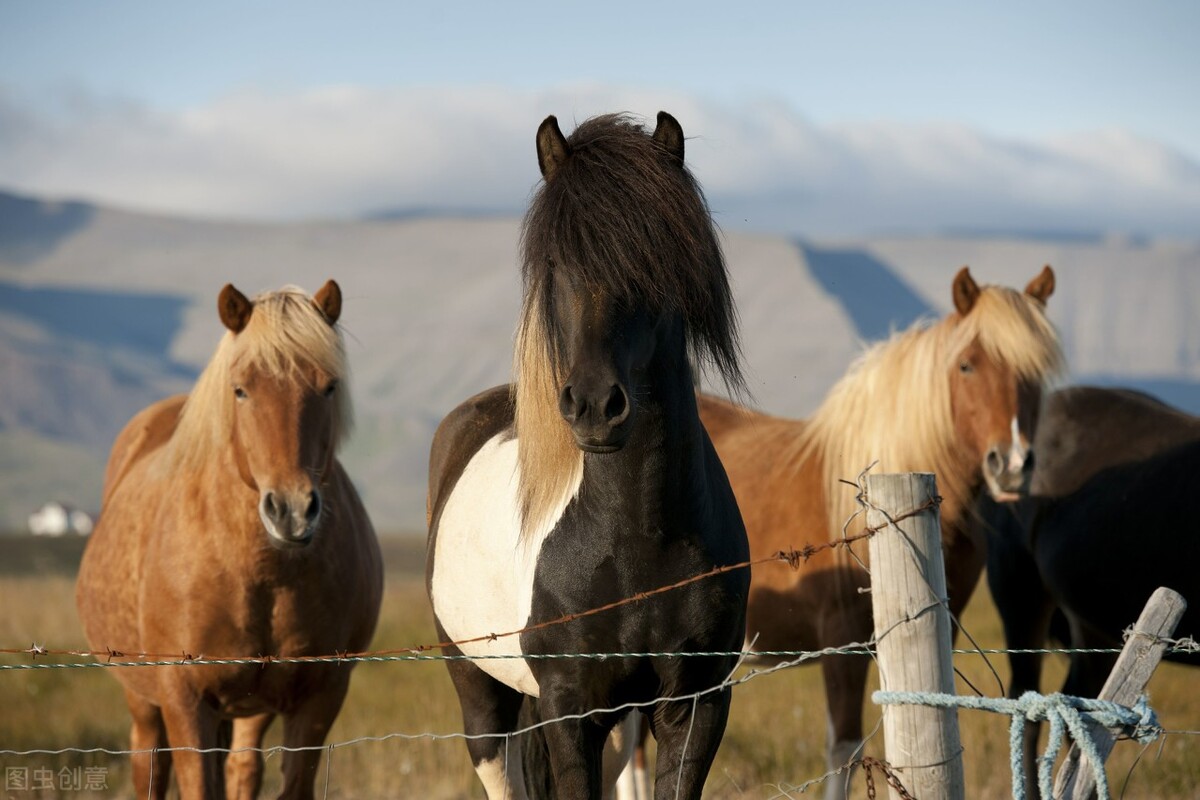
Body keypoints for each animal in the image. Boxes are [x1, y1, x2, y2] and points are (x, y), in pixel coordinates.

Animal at [76, 281, 383, 800]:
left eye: (329, 386)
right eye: (241, 390)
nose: (292, 510)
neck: (262, 571)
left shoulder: (319, 698)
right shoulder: (184, 697)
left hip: (252, 707)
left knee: (242, 766)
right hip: (143, 699)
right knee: (149, 764)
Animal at [425, 111, 749, 799]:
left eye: (656, 256)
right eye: (556, 261)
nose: (596, 405)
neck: (637, 536)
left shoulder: (696, 704)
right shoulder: (569, 710)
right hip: (478, 690)